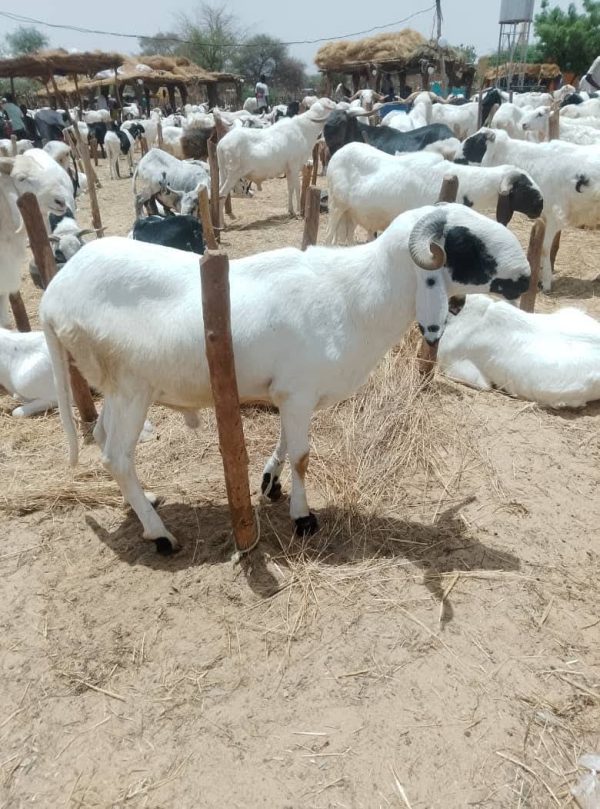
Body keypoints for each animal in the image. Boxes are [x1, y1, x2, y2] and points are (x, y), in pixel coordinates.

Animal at [40, 204, 531, 553]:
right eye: (467, 243)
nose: (525, 277)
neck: (356, 296)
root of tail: (54, 294)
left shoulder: (291, 393)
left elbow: (283, 444)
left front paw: (269, 483)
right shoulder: (298, 392)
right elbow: (302, 457)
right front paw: (303, 517)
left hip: (113, 386)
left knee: (102, 438)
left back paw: (147, 503)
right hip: (132, 387)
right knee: (116, 457)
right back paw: (159, 534)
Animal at [325, 143, 543, 244]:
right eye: (525, 187)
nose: (540, 206)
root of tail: (337, 154)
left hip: (352, 212)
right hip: (337, 205)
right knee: (329, 234)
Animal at [460, 127, 600, 290]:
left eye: (473, 144)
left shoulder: (554, 216)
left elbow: (545, 248)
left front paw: (546, 283)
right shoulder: (546, 217)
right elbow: (550, 247)